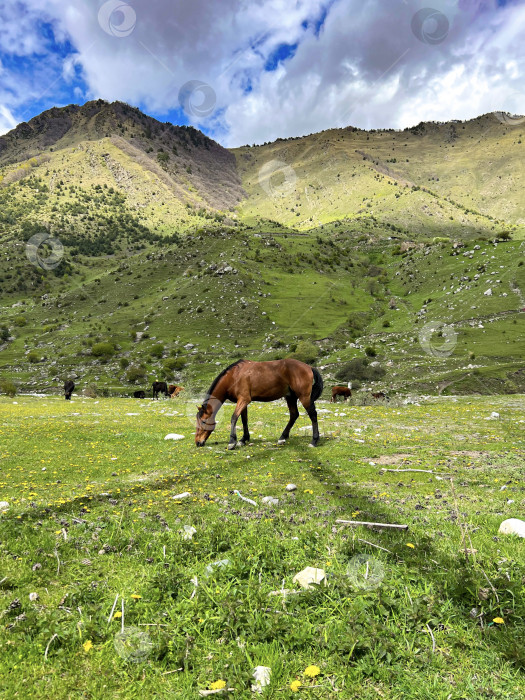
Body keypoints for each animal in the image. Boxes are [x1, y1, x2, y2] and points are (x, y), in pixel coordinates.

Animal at [194, 358, 322, 452]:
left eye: (204, 421)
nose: (198, 442)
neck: (234, 376)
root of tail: (309, 367)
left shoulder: (243, 400)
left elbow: (234, 418)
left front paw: (232, 442)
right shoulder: (243, 402)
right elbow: (244, 420)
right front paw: (243, 439)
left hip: (304, 397)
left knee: (313, 415)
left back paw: (314, 441)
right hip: (290, 397)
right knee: (294, 415)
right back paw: (282, 438)